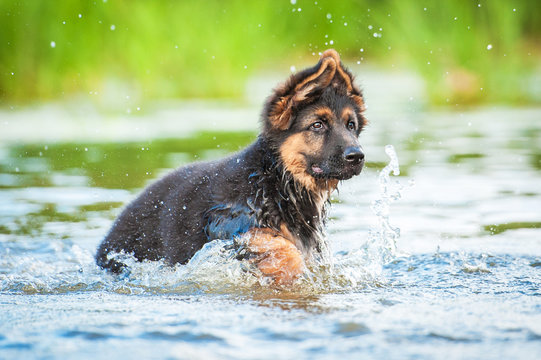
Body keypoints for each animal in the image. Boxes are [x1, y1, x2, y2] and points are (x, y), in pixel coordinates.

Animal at [96, 49, 368, 284]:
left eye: (351, 126)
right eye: (317, 125)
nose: (357, 156)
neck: (273, 179)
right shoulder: (225, 226)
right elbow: (273, 242)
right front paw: (293, 271)